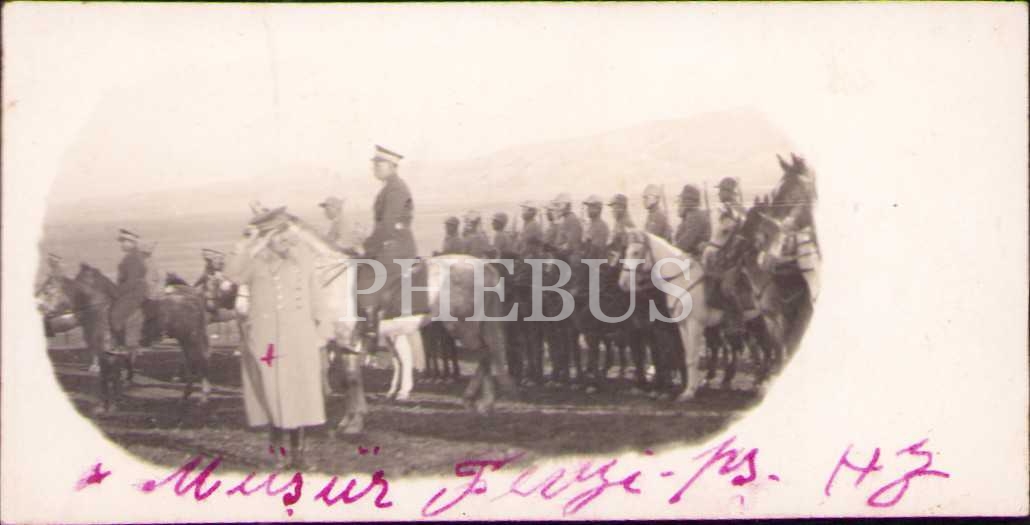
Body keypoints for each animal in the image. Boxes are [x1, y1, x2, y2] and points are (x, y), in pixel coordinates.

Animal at [618, 230, 721, 401]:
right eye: (625, 251)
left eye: (636, 252)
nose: (623, 283)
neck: (682, 281)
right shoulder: (681, 324)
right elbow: (686, 356)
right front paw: (688, 388)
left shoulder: (694, 324)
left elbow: (688, 356)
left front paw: (689, 392)